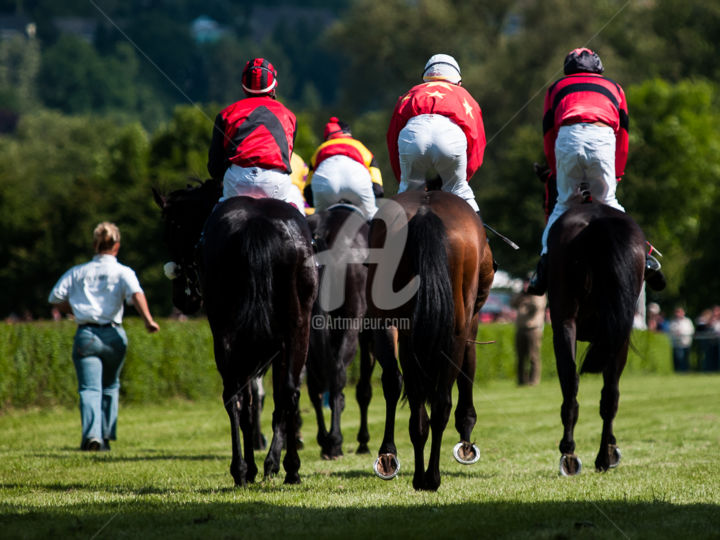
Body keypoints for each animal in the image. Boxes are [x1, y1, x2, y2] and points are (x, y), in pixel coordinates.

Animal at [153, 180, 316, 486]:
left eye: (170, 233)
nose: (181, 300)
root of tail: (258, 224)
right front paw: (269, 463)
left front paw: (258, 465)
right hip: (294, 330)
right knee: (282, 393)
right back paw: (288, 468)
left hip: (233, 332)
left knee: (239, 395)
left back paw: (245, 468)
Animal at [366, 190, 496, 490]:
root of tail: (427, 210)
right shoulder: (470, 322)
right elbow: (467, 370)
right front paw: (466, 433)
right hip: (455, 326)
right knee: (439, 402)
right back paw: (430, 477)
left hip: (397, 323)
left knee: (408, 393)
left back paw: (402, 464)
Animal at [544, 202, 660, 476]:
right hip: (614, 334)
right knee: (609, 394)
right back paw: (602, 455)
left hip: (568, 324)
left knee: (574, 382)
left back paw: (570, 453)